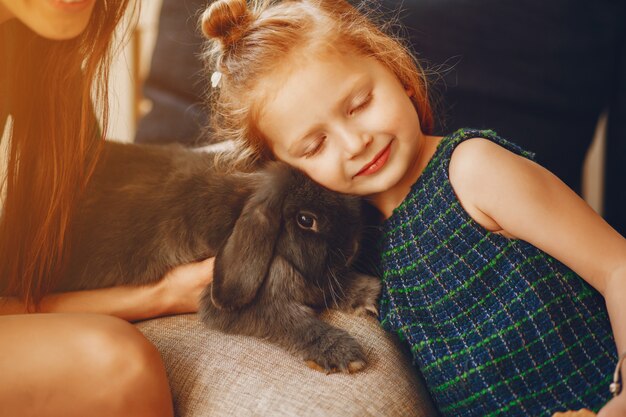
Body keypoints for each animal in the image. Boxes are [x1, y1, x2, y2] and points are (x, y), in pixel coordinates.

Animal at [59, 141, 380, 372]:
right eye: (305, 220)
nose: (352, 249)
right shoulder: (236, 306)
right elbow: (295, 321)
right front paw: (343, 353)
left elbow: (328, 285)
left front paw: (368, 293)